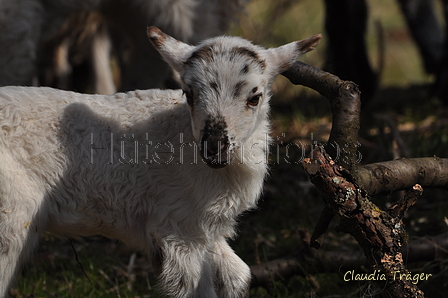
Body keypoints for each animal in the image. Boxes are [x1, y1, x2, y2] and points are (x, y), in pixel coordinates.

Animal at [0, 26, 322, 296]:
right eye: (189, 94)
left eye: (254, 98)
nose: (214, 147)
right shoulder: (176, 227)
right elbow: (199, 289)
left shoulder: (203, 228)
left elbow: (239, 276)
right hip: (11, 215)